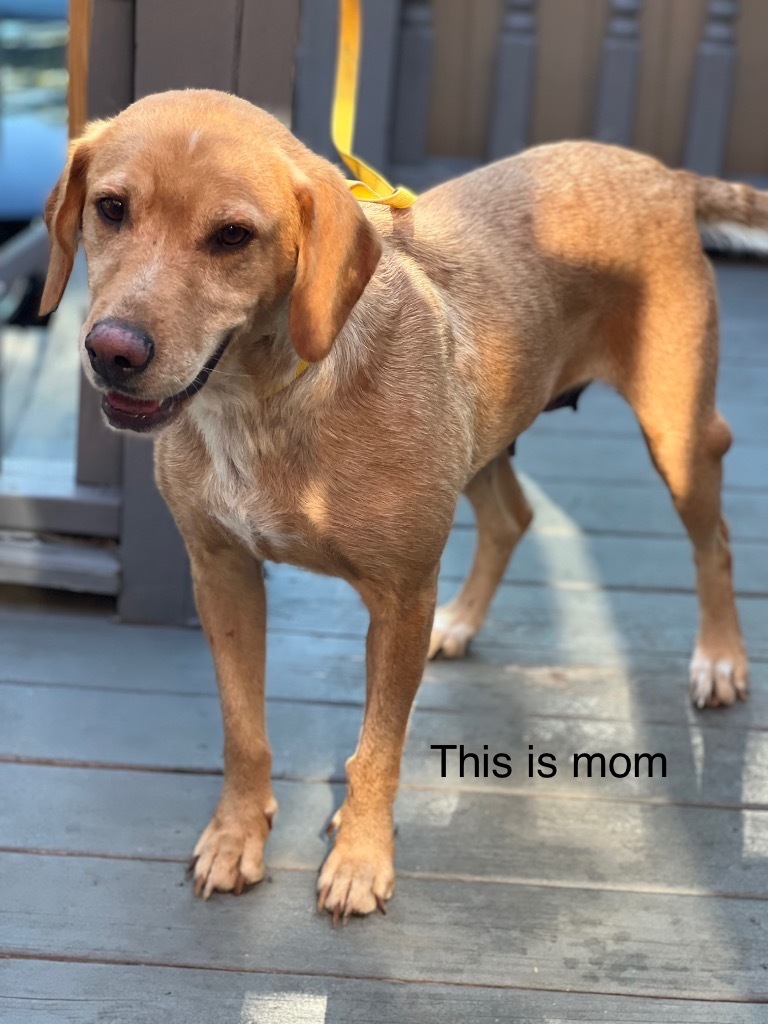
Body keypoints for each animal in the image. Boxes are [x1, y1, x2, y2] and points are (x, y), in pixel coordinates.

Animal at [41, 88, 757, 921]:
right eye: (110, 208)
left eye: (232, 236)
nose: (112, 351)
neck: (263, 403)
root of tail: (661, 174)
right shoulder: (222, 573)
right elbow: (243, 732)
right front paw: (236, 836)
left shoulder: (402, 597)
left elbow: (379, 749)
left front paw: (359, 857)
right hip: (485, 433)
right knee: (515, 518)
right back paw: (463, 624)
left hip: (678, 437)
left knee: (716, 544)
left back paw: (719, 660)